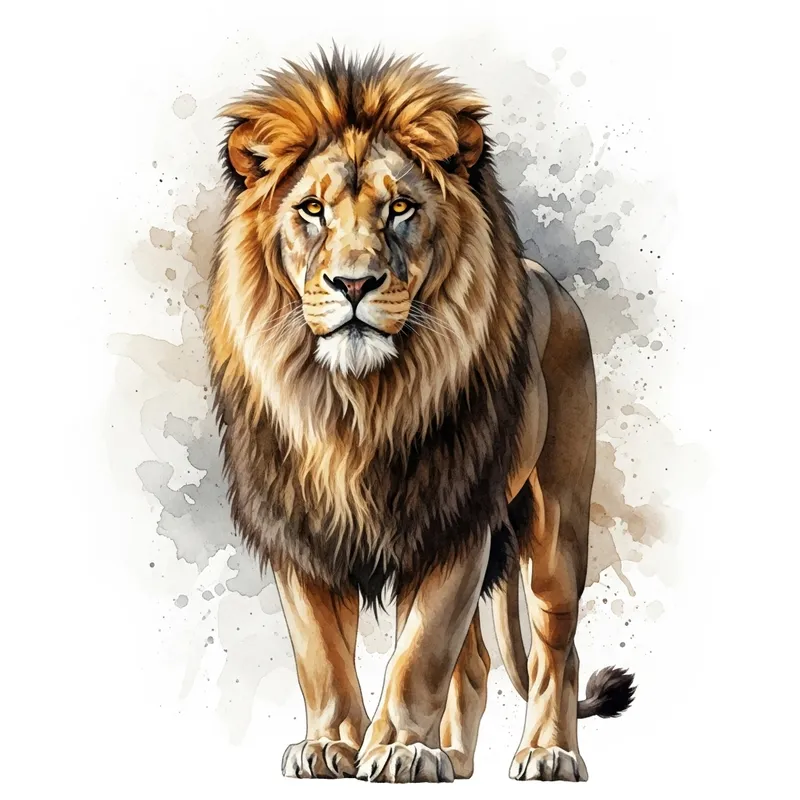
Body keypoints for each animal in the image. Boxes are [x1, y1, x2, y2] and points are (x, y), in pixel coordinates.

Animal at [205, 48, 635, 783]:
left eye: (400, 208)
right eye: (312, 210)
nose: (353, 283)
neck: (360, 404)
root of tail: (544, 279)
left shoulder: (455, 517)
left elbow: (421, 651)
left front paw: (402, 748)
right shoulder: (300, 524)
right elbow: (320, 654)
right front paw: (331, 745)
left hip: (556, 524)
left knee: (556, 646)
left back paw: (547, 752)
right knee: (479, 661)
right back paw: (455, 758)